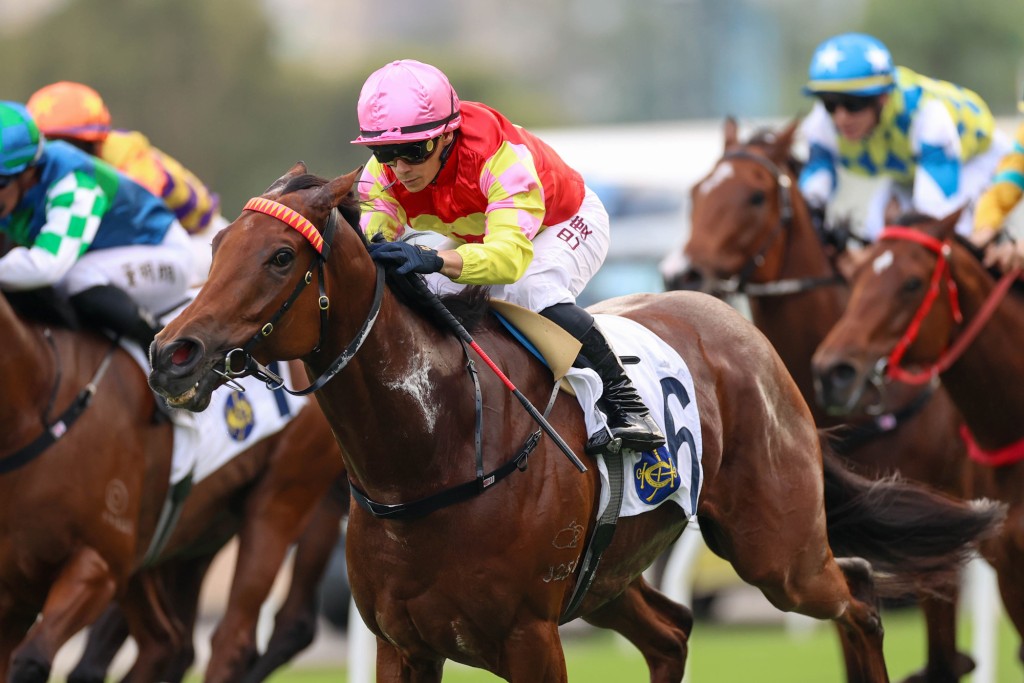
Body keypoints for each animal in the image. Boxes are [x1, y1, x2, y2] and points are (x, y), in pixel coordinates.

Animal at [0, 285, 346, 683]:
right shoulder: (15, 593)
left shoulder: (98, 564)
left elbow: (31, 659)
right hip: (194, 535)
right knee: (169, 644)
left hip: (283, 499)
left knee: (244, 636)